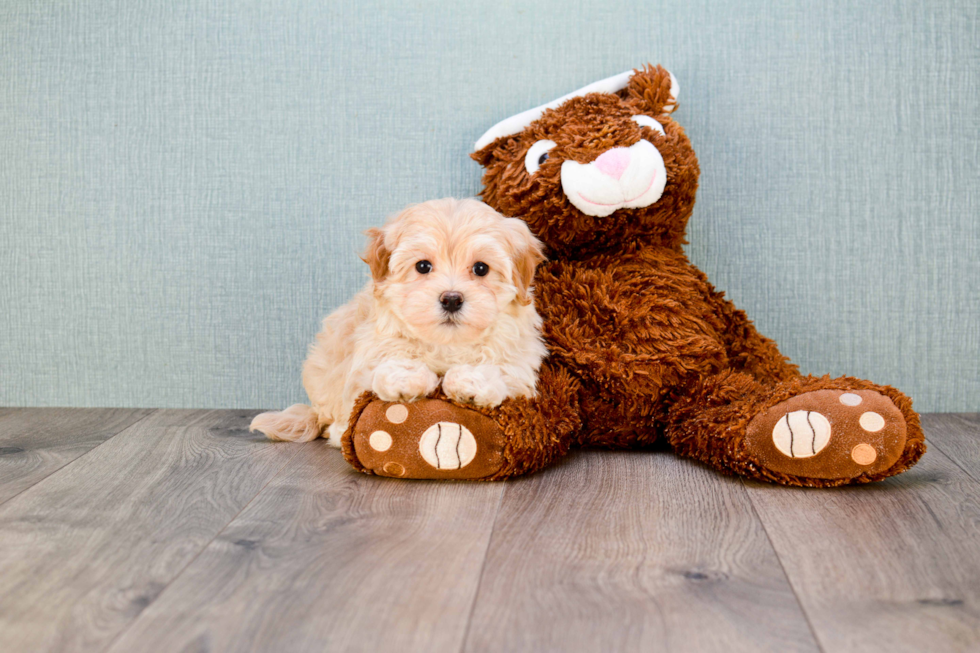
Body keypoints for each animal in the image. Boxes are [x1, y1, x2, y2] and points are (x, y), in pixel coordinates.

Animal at [249, 196, 548, 446]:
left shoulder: (520, 362)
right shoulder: (368, 353)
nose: (451, 299)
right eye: (423, 266)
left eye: (481, 268)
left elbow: (501, 369)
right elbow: (384, 364)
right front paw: (407, 378)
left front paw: (470, 382)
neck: (445, 344)